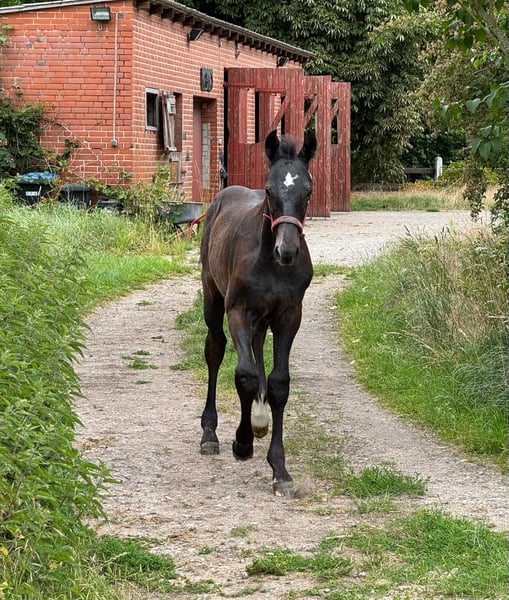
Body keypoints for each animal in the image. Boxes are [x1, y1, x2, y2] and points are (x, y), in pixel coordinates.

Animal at [199, 129, 317, 497]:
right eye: (269, 190)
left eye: (308, 191)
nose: (287, 251)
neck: (269, 263)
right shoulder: (239, 310)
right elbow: (245, 376)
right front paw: (242, 443)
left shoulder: (289, 316)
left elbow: (279, 383)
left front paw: (280, 470)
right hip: (212, 298)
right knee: (215, 350)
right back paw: (210, 433)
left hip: (264, 319)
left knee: (257, 347)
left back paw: (260, 420)